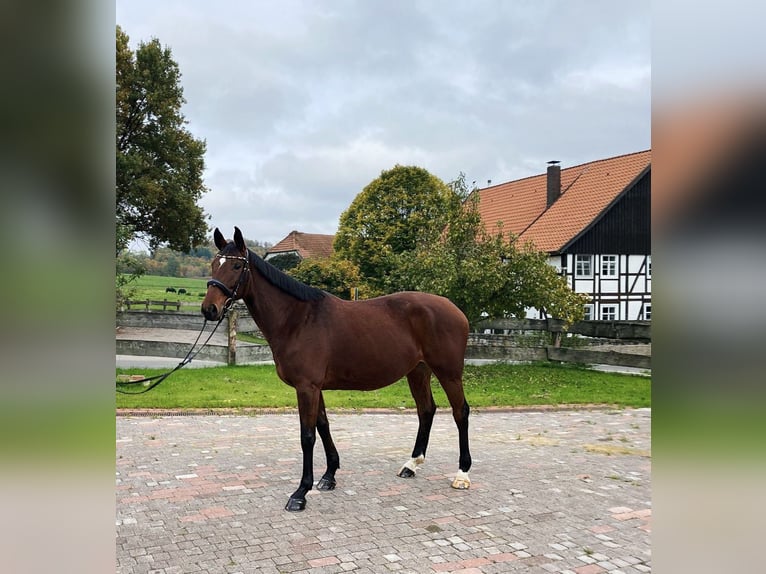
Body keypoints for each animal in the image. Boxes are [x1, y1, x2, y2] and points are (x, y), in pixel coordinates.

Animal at [201, 228, 472, 512]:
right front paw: (329, 475)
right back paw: (411, 465)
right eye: (214, 264)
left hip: (449, 373)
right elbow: (323, 425)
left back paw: (462, 474)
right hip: (418, 372)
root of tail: (455, 309)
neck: (298, 319)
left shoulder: (307, 387)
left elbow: (307, 435)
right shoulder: (314, 387)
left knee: (460, 412)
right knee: (426, 410)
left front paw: (300, 492)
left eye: (236, 265)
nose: (209, 309)